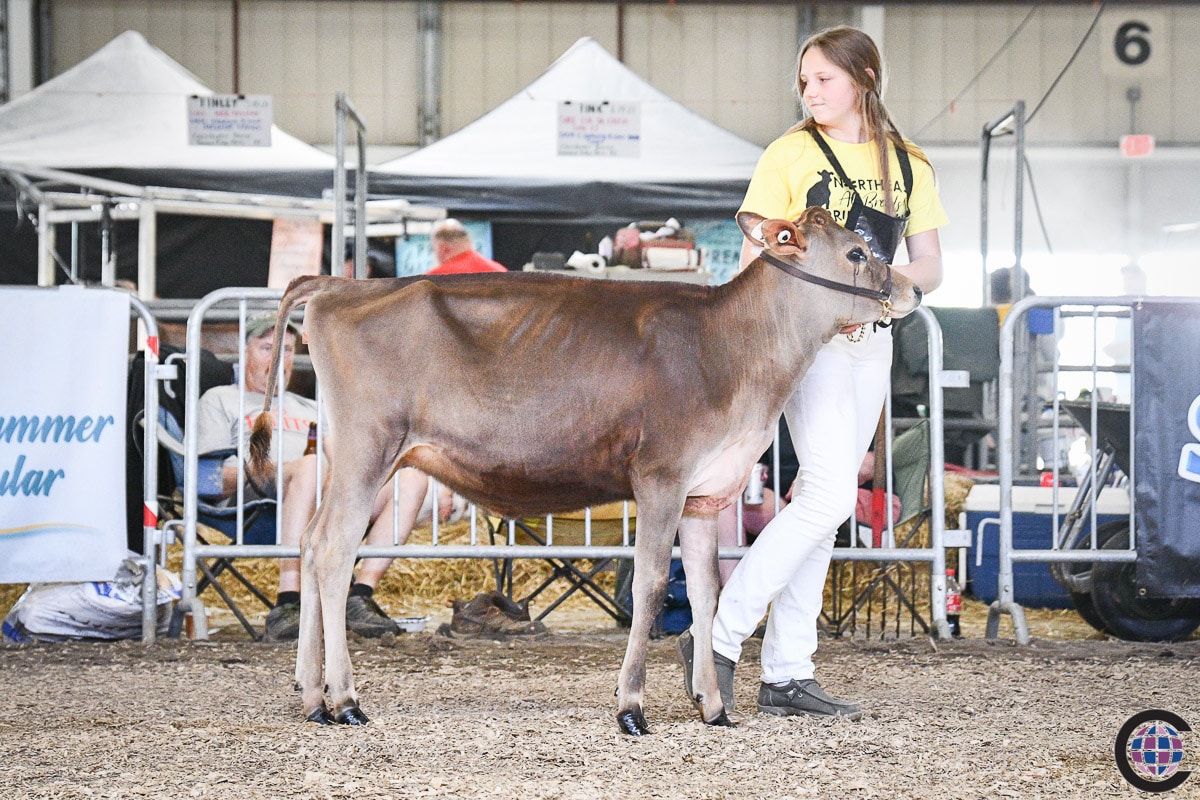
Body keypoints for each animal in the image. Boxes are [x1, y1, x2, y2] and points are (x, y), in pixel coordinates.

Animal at [248, 208, 921, 738]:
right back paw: (345, 700)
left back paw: (311, 696)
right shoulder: (661, 476)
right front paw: (632, 708)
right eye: (857, 252)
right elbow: (652, 585)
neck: (733, 350)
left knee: (308, 542)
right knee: (334, 552)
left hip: (346, 455)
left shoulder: (704, 494)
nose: (915, 290)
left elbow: (706, 592)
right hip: (369, 449)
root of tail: (341, 287)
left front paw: (713, 707)